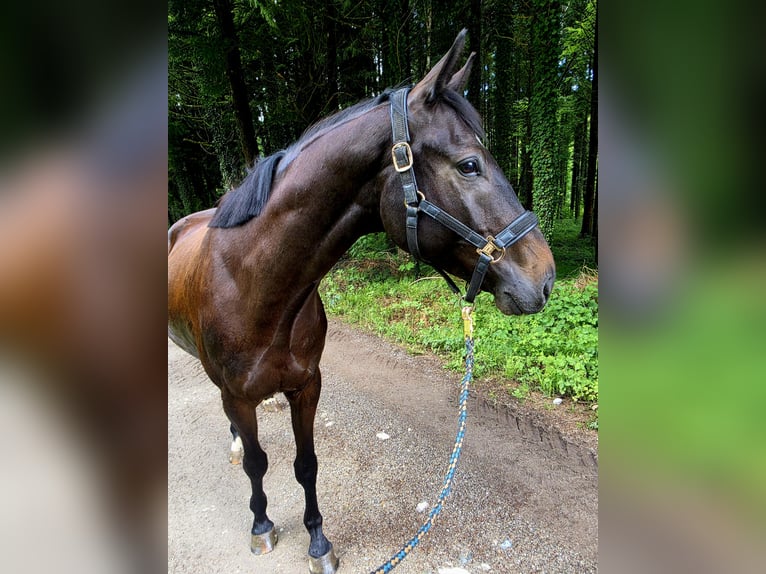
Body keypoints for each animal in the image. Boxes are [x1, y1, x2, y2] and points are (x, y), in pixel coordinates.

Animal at [168, 30, 555, 573]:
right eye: (469, 165)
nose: (545, 278)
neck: (257, 289)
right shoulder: (239, 395)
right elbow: (259, 464)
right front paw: (262, 525)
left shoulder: (307, 386)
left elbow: (306, 464)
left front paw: (318, 541)